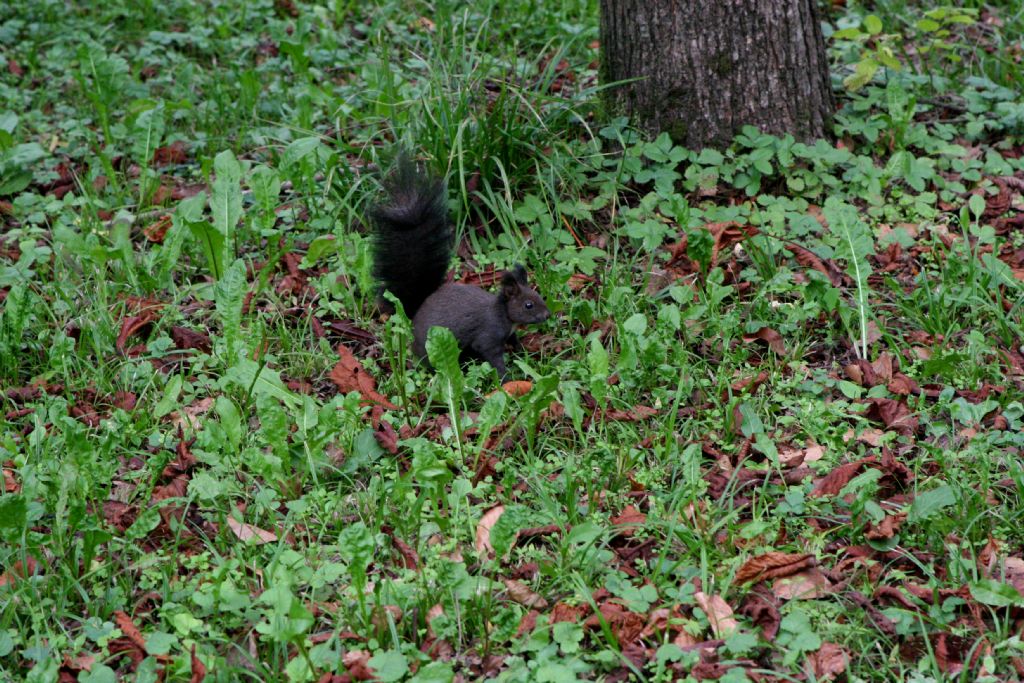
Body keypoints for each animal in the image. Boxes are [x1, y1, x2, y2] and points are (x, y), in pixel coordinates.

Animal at [366, 154, 548, 378]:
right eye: (528, 305)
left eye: (538, 295)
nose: (547, 315)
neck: (503, 313)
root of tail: (416, 313)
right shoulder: (488, 336)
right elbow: (492, 355)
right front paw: (506, 378)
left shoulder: (510, 333)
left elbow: (514, 341)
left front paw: (524, 354)